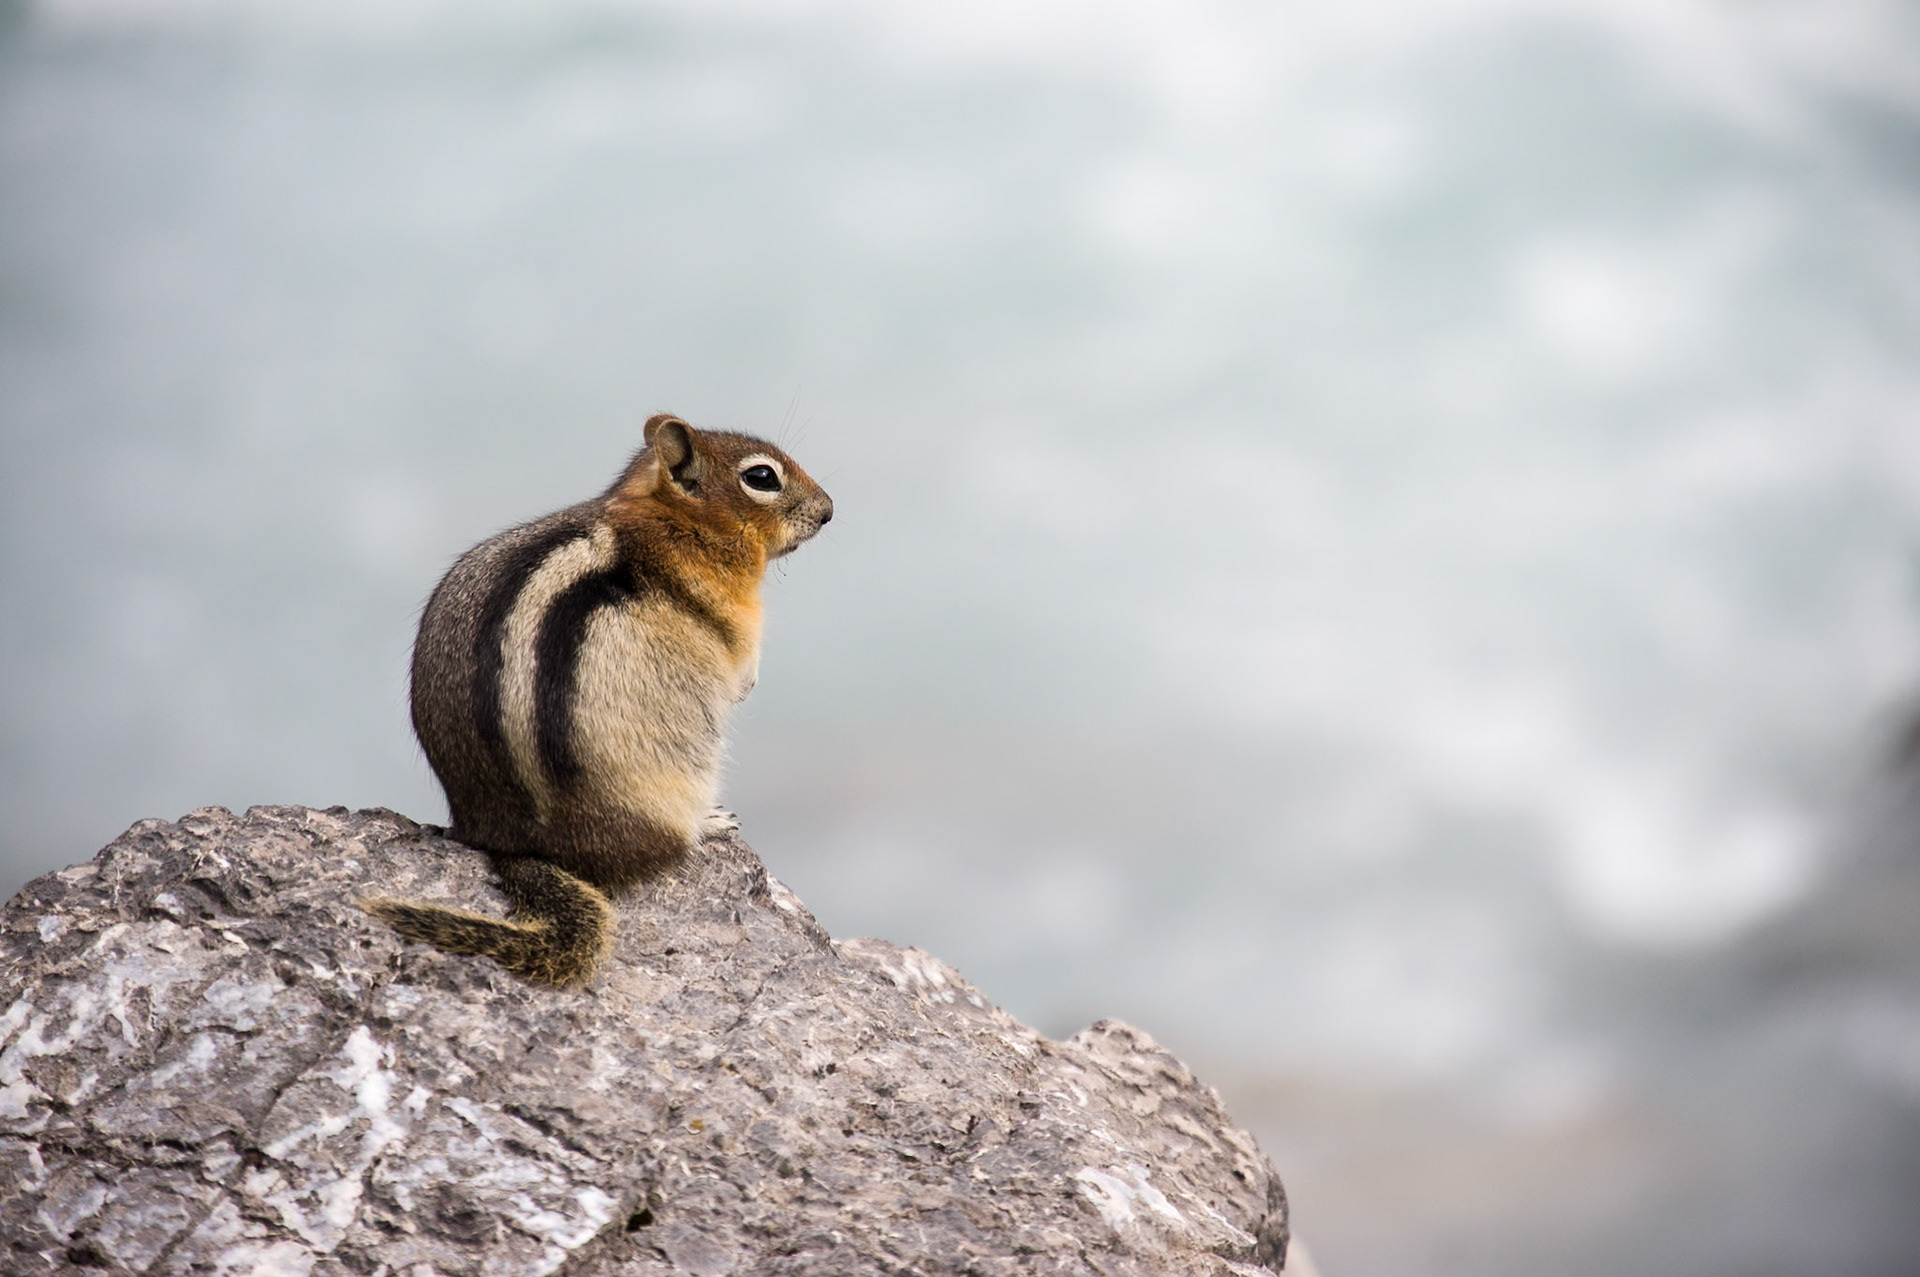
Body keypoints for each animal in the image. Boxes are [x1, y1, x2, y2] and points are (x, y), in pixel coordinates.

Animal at [363, 412, 833, 987]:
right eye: (762, 477)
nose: (829, 511)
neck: (670, 519)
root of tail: (517, 843)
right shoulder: (735, 616)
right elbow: (742, 654)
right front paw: (748, 682)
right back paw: (711, 823)